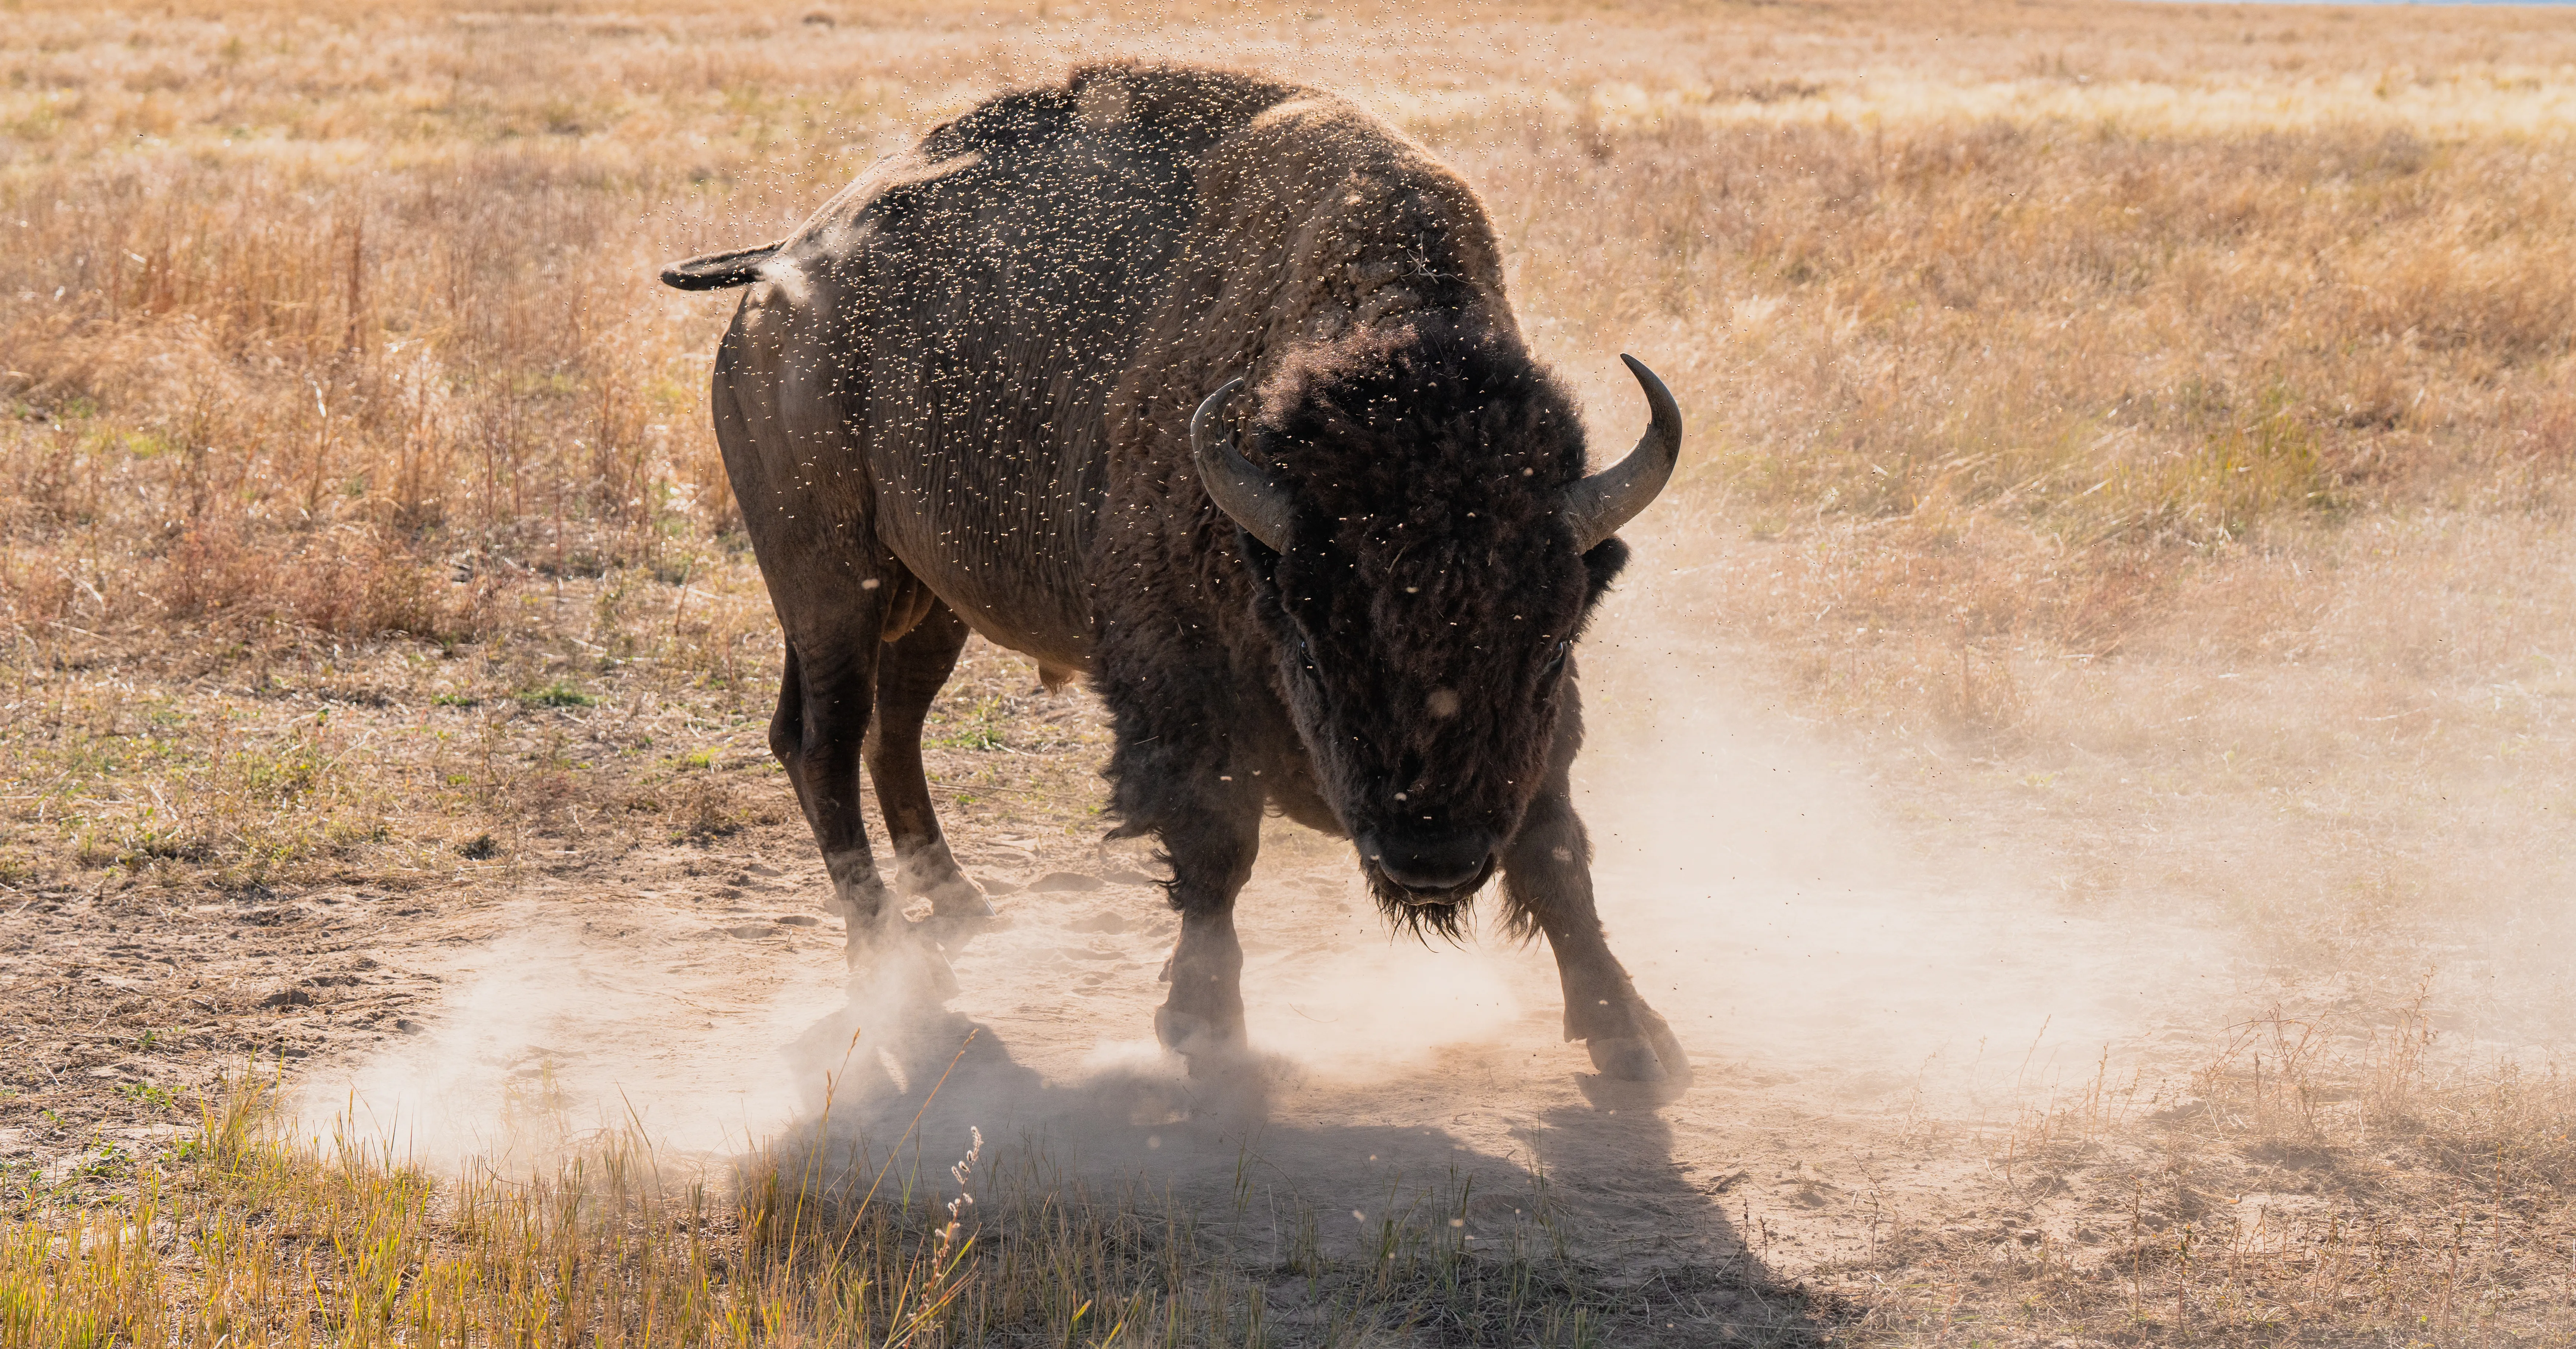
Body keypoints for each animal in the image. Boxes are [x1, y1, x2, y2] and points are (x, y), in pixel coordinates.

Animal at [661, 64, 1687, 1081]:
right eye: (1313, 645)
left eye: (1548, 648)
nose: (1430, 860)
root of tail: (778, 277)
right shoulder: (1180, 682)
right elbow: (1216, 848)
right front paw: (1207, 1030)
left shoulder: (1538, 721)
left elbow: (1555, 850)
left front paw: (1632, 1034)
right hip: (828, 580)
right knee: (822, 744)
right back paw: (894, 961)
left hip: (934, 600)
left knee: (892, 728)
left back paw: (959, 899)